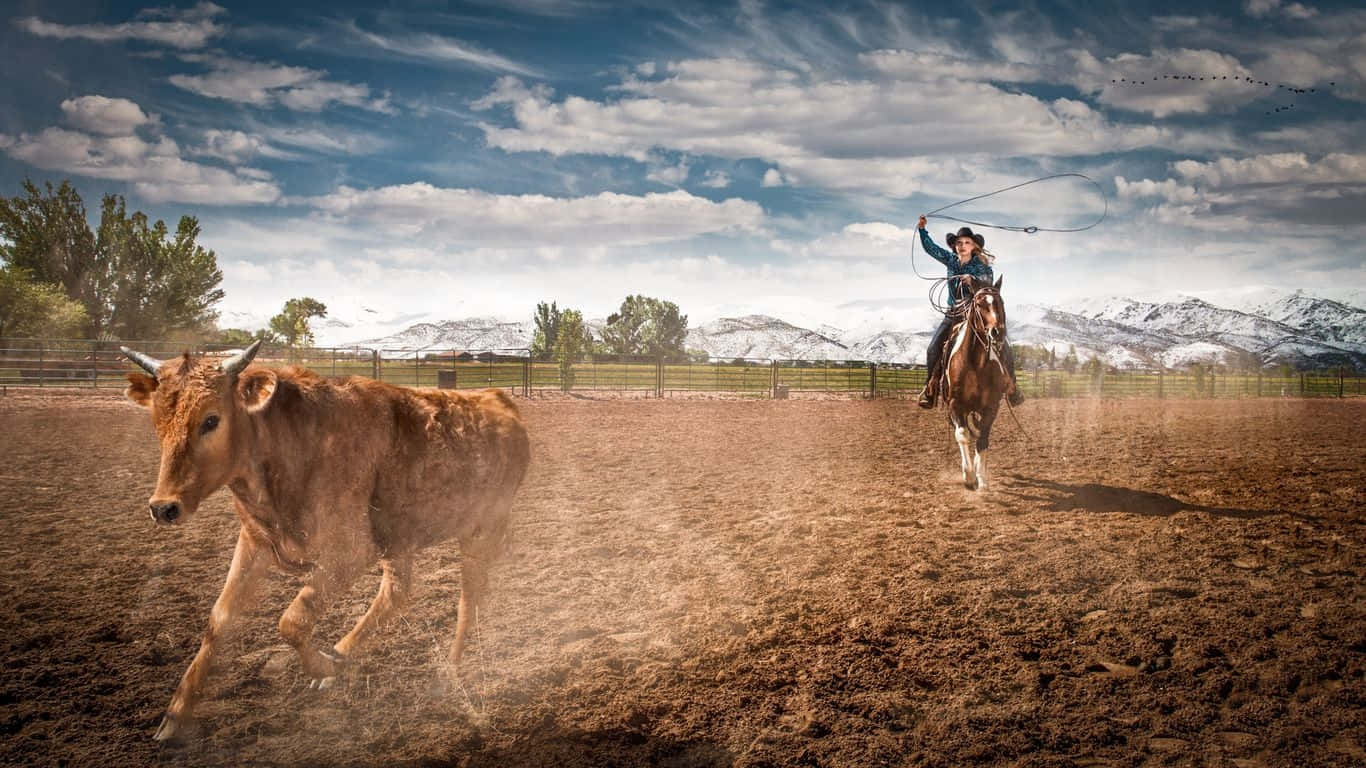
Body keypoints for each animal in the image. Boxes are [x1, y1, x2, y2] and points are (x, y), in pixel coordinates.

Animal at [936, 275, 1012, 490]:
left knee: (978, 434)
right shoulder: (955, 405)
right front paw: (969, 476)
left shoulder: (991, 406)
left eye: (1001, 302)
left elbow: (983, 439)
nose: (997, 332)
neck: (975, 364)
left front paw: (982, 478)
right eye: (979, 304)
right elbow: (963, 435)